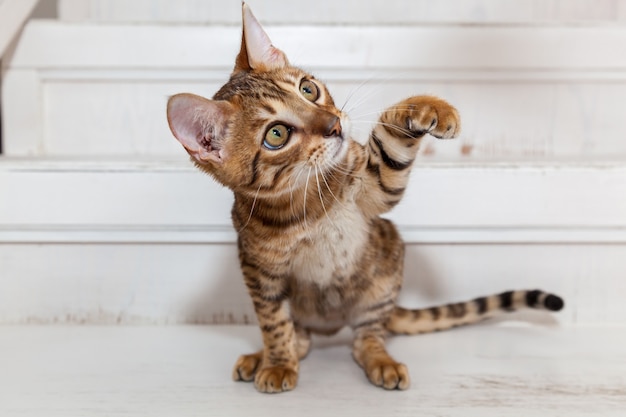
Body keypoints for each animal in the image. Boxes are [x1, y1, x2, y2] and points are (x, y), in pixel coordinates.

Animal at [165, 4, 560, 394]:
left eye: (308, 89)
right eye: (276, 135)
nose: (334, 125)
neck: (308, 200)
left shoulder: (374, 190)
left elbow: (389, 144)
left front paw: (426, 108)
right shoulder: (259, 272)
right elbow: (273, 324)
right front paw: (277, 363)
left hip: (385, 268)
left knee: (365, 338)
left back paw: (380, 359)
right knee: (303, 337)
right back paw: (263, 356)